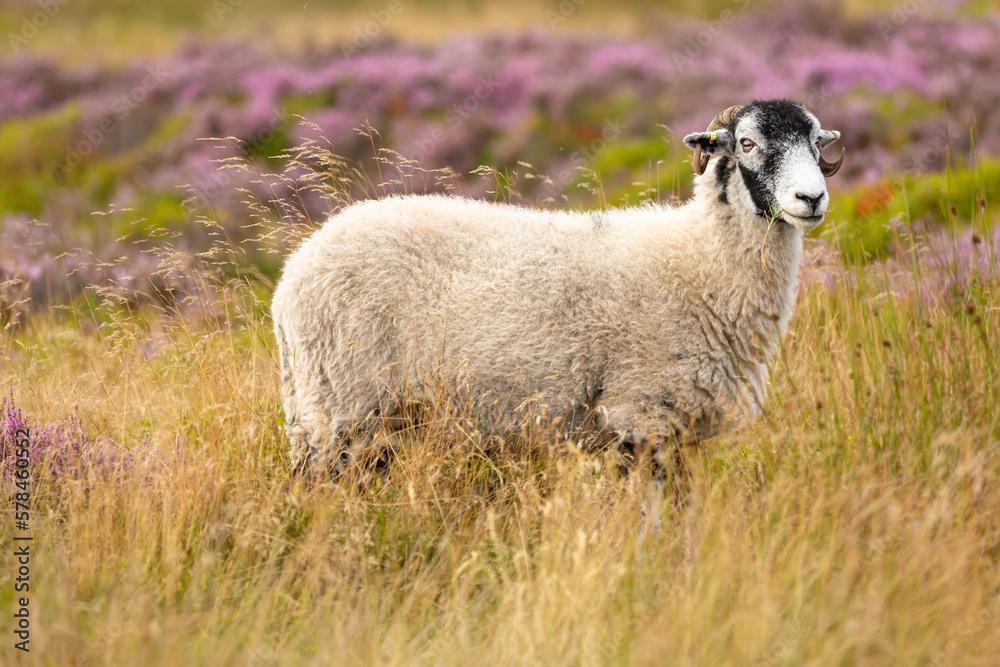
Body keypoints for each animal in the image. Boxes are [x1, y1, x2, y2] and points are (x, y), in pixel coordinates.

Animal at [271, 98, 845, 478]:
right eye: (747, 143)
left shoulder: (678, 429)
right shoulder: (640, 413)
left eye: (816, 142)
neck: (698, 262)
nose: (812, 198)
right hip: (341, 404)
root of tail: (291, 276)